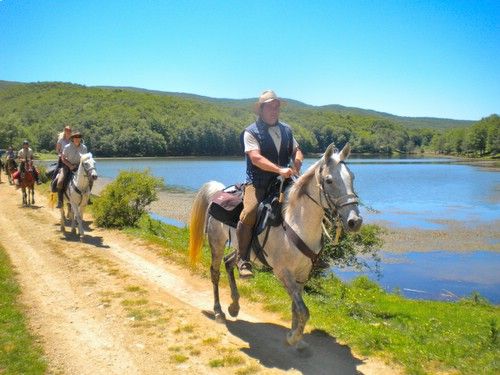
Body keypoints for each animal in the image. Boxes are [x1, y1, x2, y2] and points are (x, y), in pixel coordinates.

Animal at [189, 143, 362, 350]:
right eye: (329, 180)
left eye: (352, 177)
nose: (355, 221)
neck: (296, 222)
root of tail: (218, 191)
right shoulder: (283, 272)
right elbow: (304, 310)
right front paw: (293, 338)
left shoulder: (302, 274)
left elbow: (297, 307)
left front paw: (297, 337)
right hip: (217, 243)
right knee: (215, 272)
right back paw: (219, 312)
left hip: (242, 250)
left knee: (229, 263)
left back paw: (234, 306)